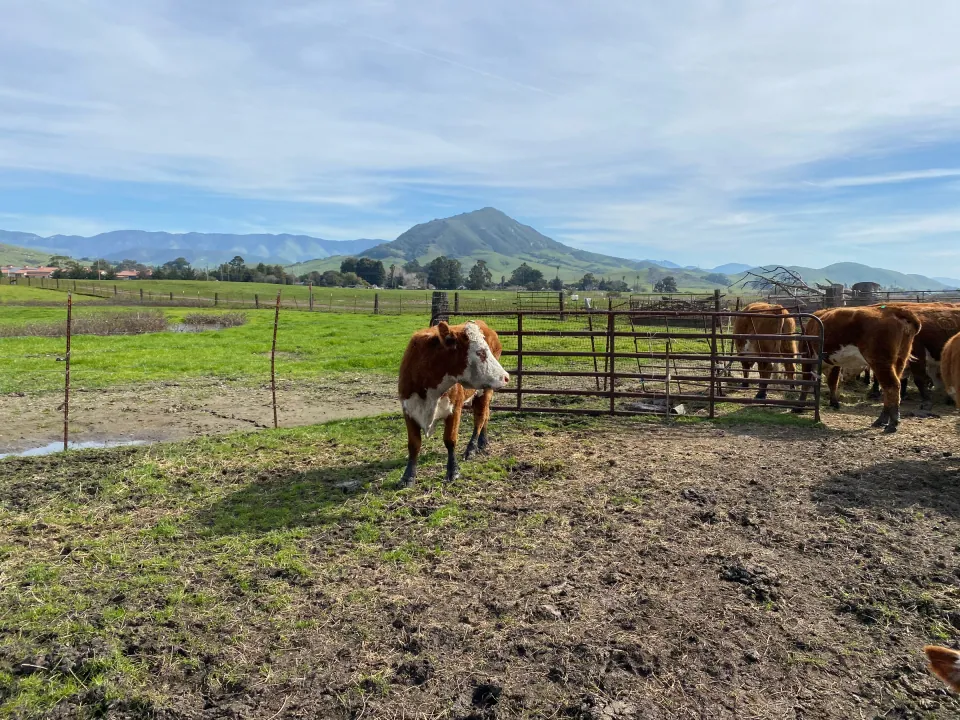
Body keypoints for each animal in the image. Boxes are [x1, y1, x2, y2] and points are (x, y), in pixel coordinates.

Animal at [398, 319, 510, 486]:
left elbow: (450, 440)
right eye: (480, 352)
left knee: (480, 418)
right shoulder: (408, 411)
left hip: (485, 391)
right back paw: (483, 442)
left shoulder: (455, 409)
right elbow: (414, 444)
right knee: (485, 416)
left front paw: (453, 471)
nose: (506, 377)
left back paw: (471, 448)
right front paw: (408, 476)